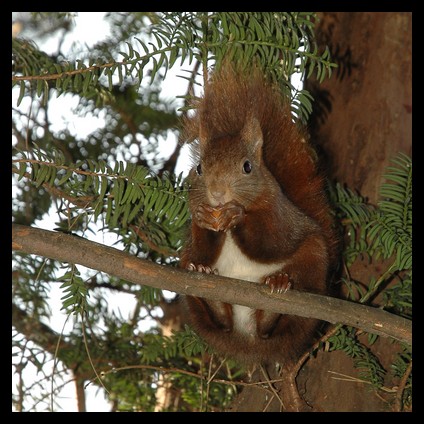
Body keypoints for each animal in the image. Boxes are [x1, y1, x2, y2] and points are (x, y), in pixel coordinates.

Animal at [181, 63, 340, 410]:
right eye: (198, 168)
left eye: (247, 167)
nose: (217, 193)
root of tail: (250, 344)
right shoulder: (194, 241)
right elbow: (201, 248)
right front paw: (203, 221)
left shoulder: (280, 217)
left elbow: (271, 242)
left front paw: (237, 214)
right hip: (201, 309)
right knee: (220, 321)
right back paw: (211, 292)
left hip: (313, 265)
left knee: (275, 327)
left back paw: (276, 290)